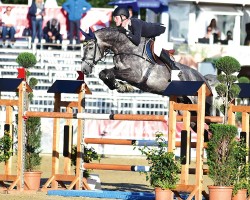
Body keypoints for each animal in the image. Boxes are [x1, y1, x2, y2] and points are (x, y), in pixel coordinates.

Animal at [81, 26, 214, 111]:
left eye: (90, 47)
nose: (84, 69)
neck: (125, 47)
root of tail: (204, 79)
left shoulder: (136, 75)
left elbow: (108, 72)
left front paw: (119, 85)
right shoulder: (122, 70)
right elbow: (105, 74)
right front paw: (119, 86)